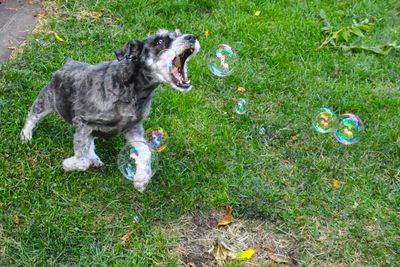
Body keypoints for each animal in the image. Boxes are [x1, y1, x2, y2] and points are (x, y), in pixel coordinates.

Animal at [20, 29, 200, 192]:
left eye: (178, 33)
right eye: (160, 41)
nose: (191, 37)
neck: (133, 90)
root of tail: (68, 62)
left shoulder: (133, 128)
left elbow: (146, 152)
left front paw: (141, 179)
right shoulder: (82, 122)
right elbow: (81, 160)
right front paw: (69, 164)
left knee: (90, 142)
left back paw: (94, 157)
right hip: (47, 100)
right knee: (32, 116)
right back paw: (25, 136)